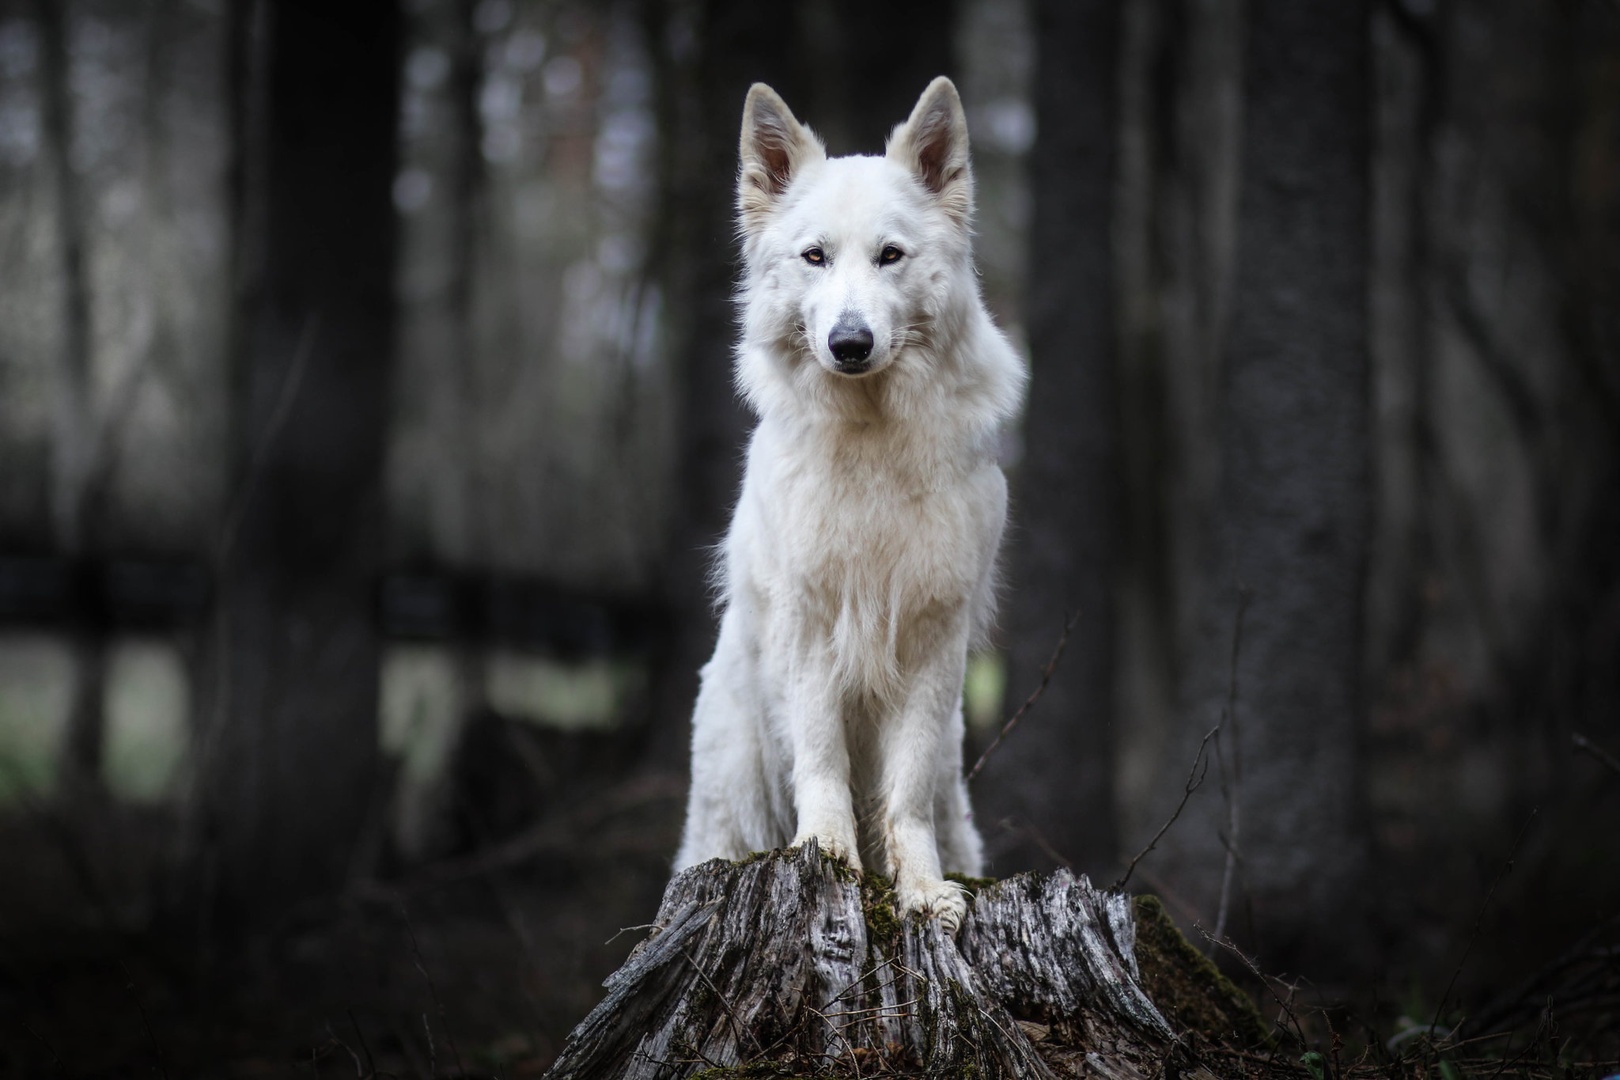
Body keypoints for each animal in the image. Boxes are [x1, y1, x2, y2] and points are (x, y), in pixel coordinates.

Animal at [673, 76, 1027, 933]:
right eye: (816, 257)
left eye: (890, 256)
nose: (851, 343)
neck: (872, 437)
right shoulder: (810, 627)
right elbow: (824, 761)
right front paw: (828, 857)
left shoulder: (936, 636)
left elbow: (904, 793)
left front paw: (921, 889)